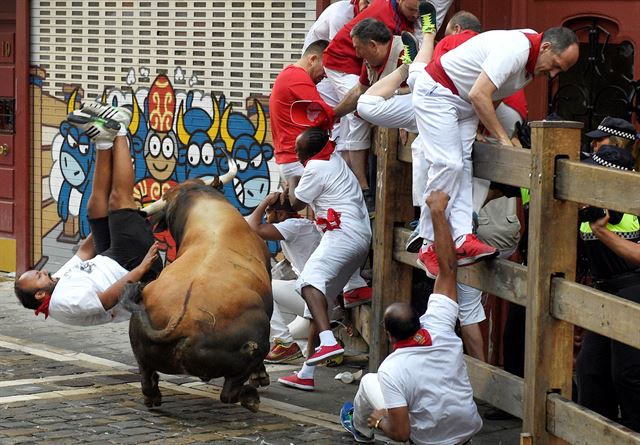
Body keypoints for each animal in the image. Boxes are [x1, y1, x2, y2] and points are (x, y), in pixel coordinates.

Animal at [122, 158, 272, 412]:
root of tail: (182, 322)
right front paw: (260, 376)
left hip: (140, 345)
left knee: (146, 375)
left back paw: (152, 397)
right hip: (254, 343)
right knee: (229, 391)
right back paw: (250, 397)